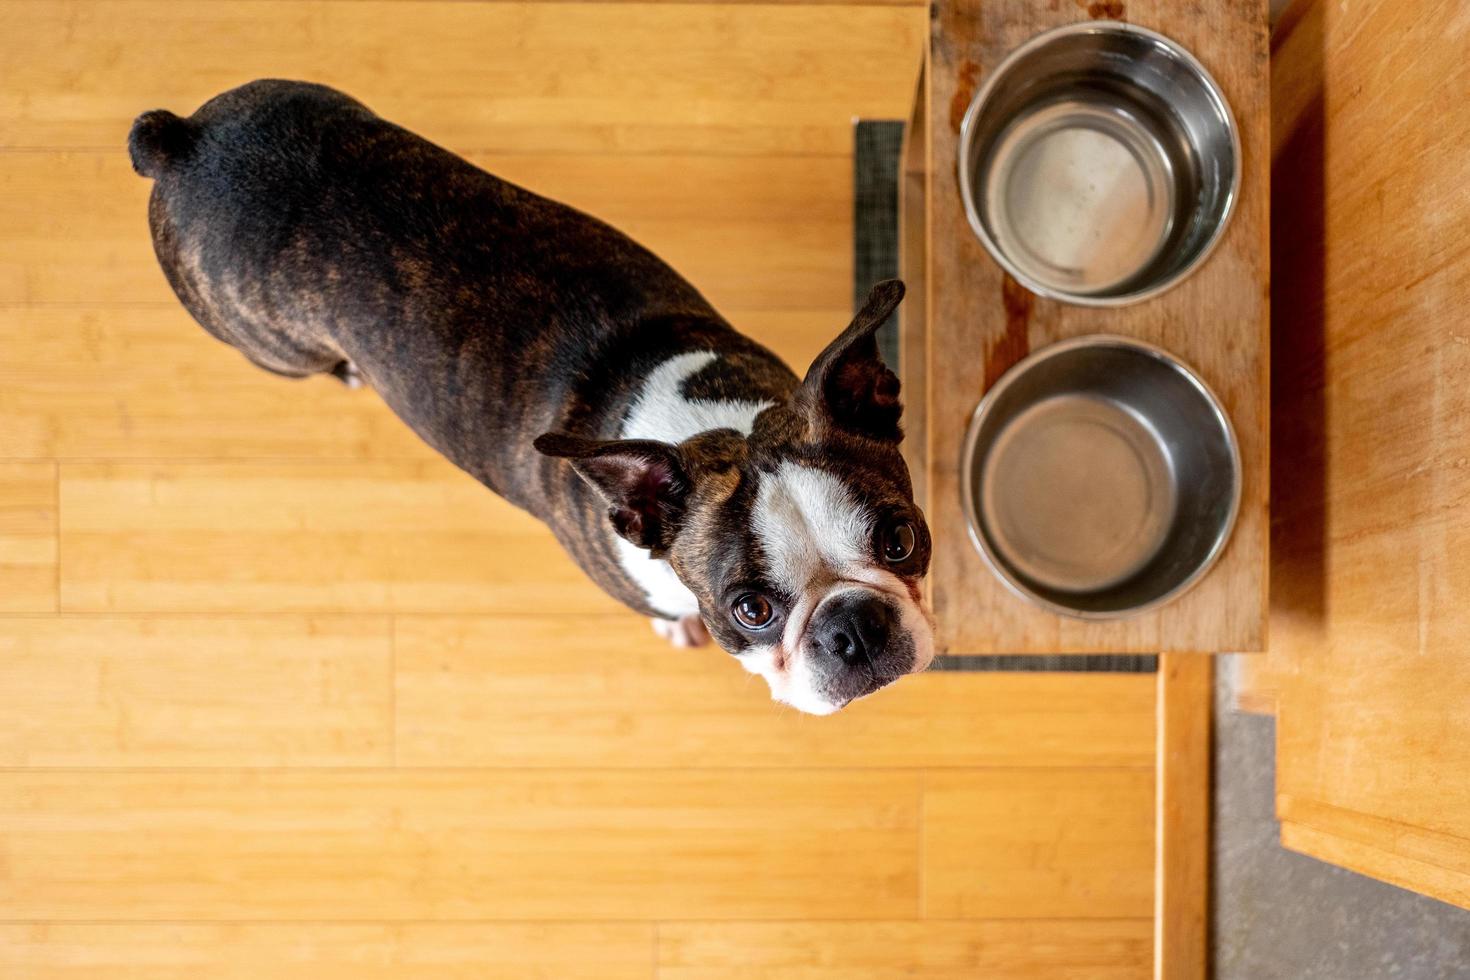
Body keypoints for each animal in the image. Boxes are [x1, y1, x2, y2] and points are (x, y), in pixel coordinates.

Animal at [126, 80, 929, 717]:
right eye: (751, 611)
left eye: (901, 538)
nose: (854, 628)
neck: (706, 424)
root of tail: (182, 141)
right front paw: (679, 625)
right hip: (277, 349)